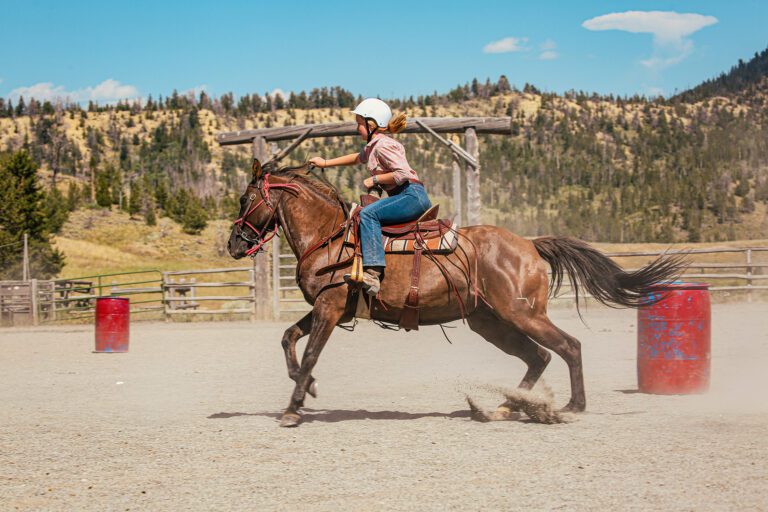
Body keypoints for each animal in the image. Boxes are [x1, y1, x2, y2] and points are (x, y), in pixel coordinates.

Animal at [227, 161, 685, 427]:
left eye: (246, 198)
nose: (233, 244)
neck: (329, 236)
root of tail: (530, 245)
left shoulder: (330, 306)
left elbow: (308, 355)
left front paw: (293, 408)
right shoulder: (330, 309)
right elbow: (288, 338)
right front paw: (308, 389)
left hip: (521, 313)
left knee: (568, 346)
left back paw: (571, 407)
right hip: (490, 322)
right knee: (538, 356)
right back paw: (507, 407)